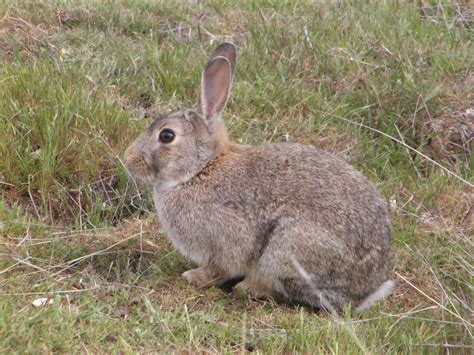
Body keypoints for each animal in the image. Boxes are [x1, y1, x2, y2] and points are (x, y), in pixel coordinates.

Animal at [124, 43, 394, 312]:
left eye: (167, 135)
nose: (127, 158)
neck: (201, 168)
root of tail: (363, 292)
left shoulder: (225, 238)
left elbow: (220, 268)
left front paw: (194, 276)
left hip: (289, 248)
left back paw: (249, 287)